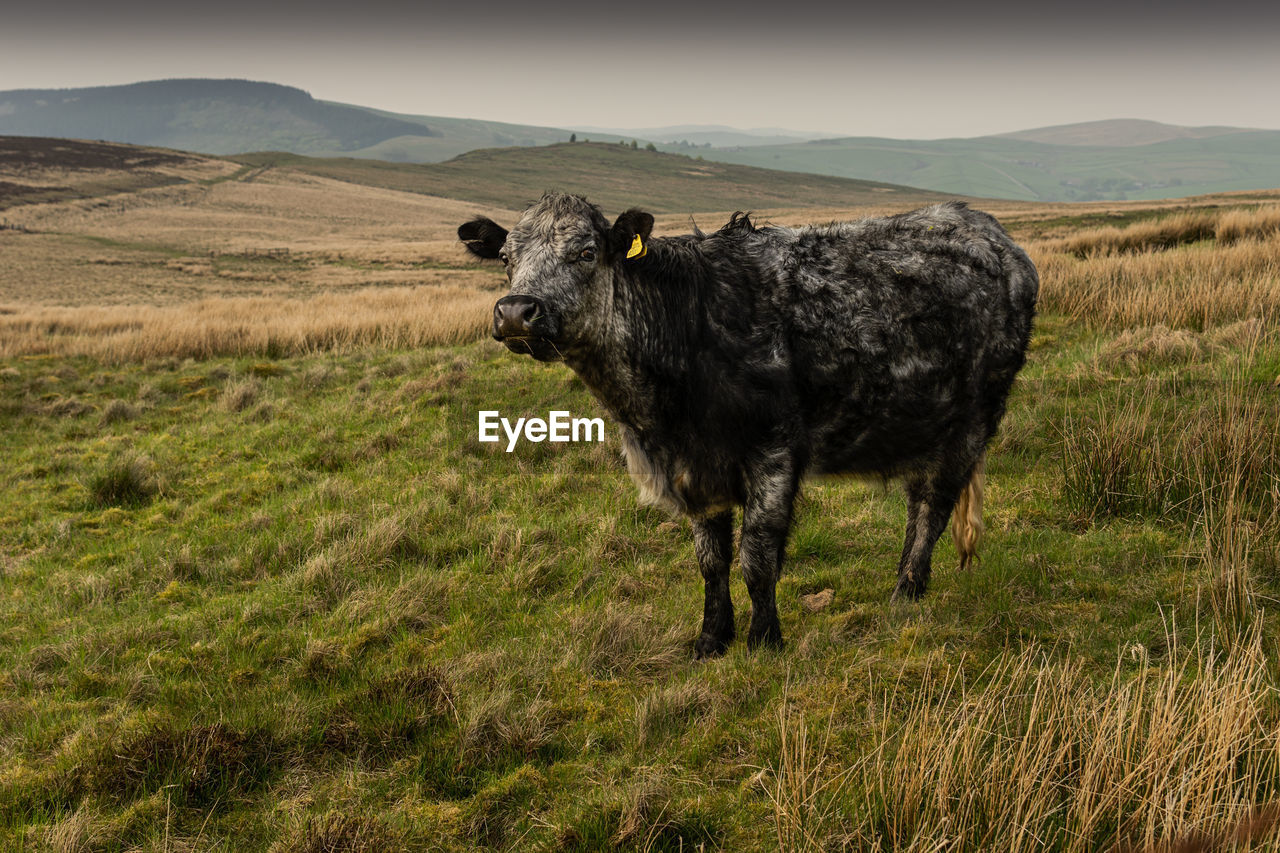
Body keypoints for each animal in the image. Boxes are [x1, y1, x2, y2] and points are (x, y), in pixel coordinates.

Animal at [455, 192, 1034, 653]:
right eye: (505, 258)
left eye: (585, 252)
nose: (515, 311)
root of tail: (986, 228)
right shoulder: (694, 466)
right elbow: (711, 560)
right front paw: (712, 637)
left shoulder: (773, 451)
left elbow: (757, 556)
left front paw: (763, 639)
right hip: (922, 419)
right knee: (920, 500)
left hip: (973, 419)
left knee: (934, 505)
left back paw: (905, 593)